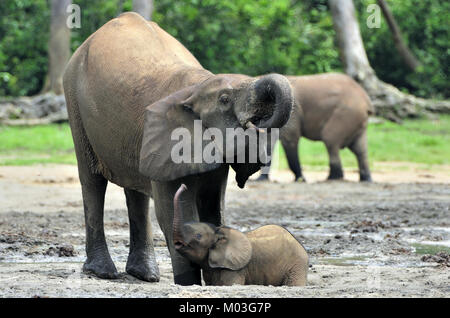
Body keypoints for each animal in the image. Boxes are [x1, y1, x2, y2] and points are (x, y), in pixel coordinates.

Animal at [64, 12, 296, 286]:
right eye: (225, 99)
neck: (196, 87)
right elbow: (176, 213)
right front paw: (190, 283)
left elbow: (212, 208)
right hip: (74, 102)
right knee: (92, 181)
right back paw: (101, 272)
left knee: (135, 190)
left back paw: (146, 275)